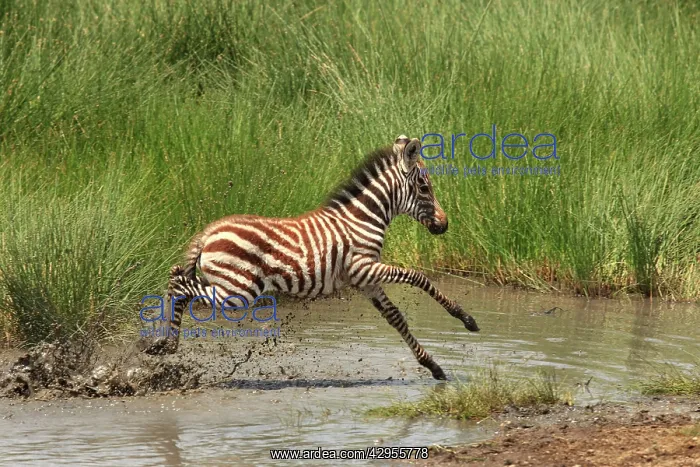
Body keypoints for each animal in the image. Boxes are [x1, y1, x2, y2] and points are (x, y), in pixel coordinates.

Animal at [144, 135, 480, 380]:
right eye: (424, 187)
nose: (444, 225)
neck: (363, 218)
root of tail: (209, 231)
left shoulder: (365, 279)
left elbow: (395, 317)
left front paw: (434, 367)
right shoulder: (363, 266)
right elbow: (418, 277)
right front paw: (466, 318)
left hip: (229, 285)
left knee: (178, 277)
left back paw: (162, 344)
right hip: (237, 289)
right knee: (179, 283)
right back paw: (167, 344)